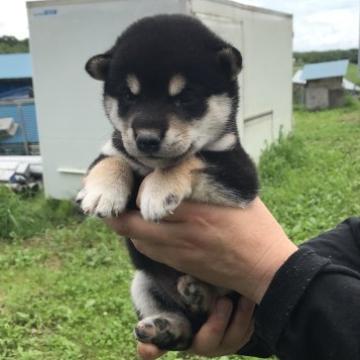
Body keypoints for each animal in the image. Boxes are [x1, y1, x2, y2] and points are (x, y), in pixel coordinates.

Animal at [76, 14, 258, 352]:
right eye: (128, 96)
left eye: (186, 98)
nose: (146, 138)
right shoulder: (116, 146)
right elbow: (112, 159)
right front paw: (102, 191)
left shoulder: (240, 175)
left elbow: (193, 157)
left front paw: (158, 191)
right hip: (142, 282)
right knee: (185, 332)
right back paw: (168, 328)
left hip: (236, 290)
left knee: (212, 306)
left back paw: (200, 293)